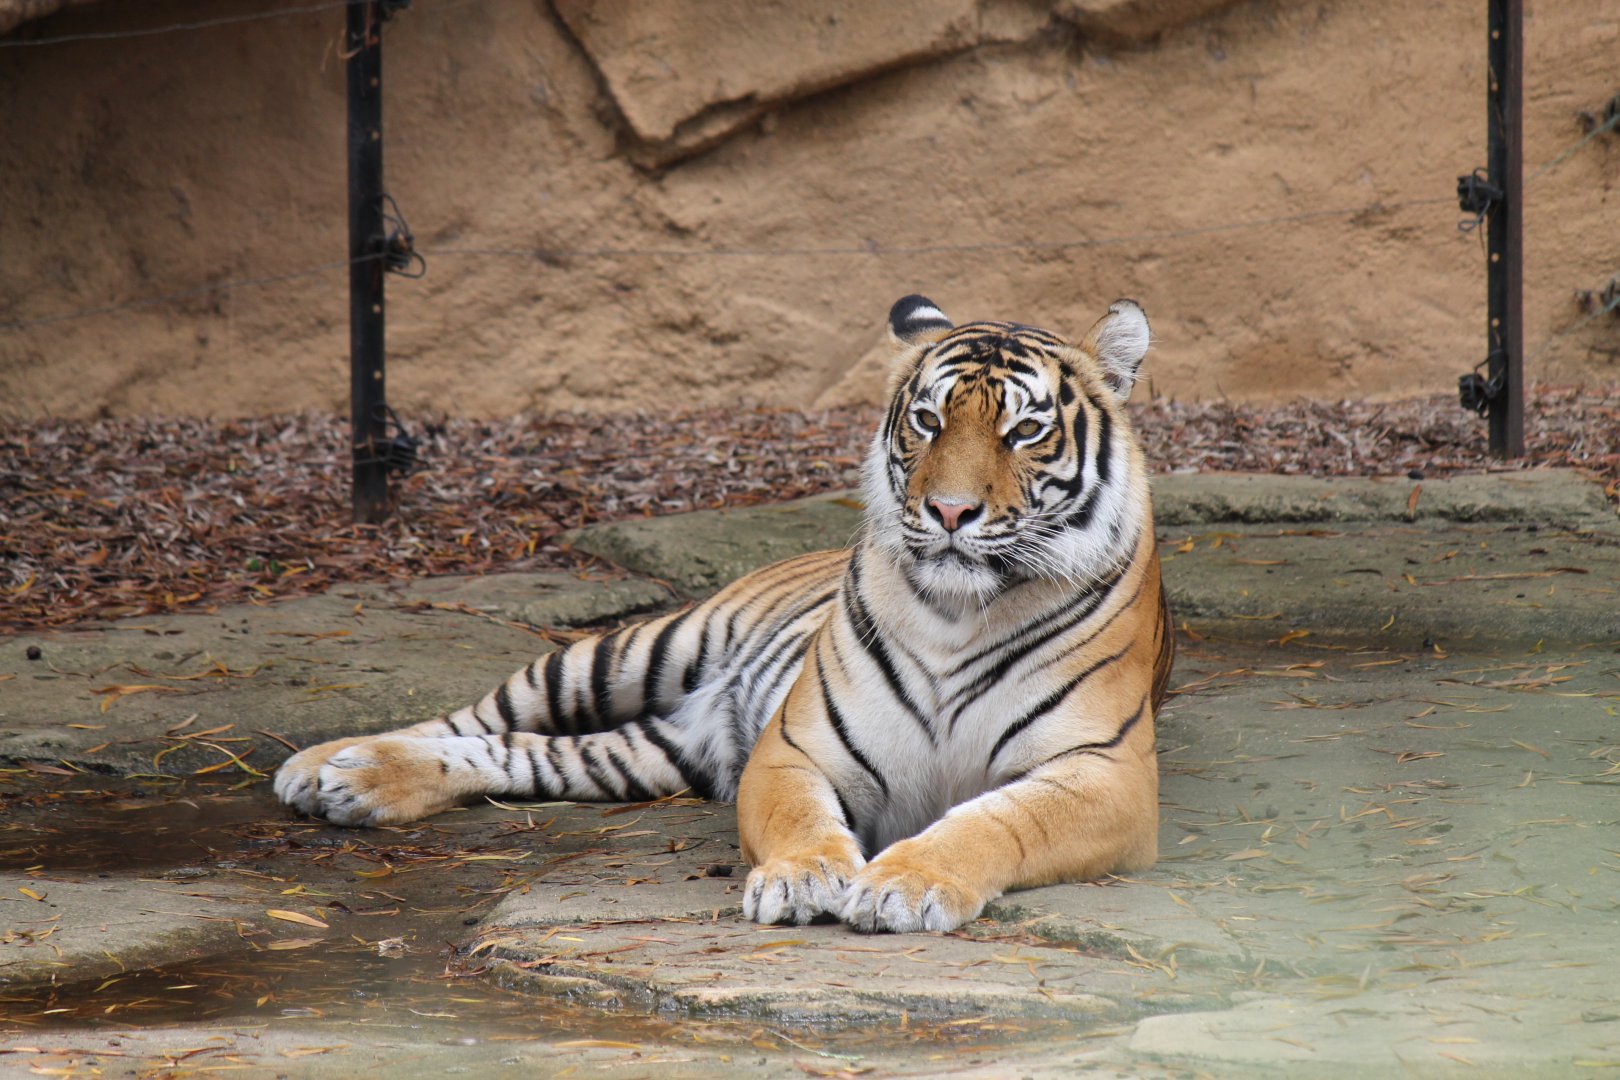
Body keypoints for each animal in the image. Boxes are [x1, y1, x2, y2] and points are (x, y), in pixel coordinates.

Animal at [273, 294, 1175, 933]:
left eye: (1024, 431)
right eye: (927, 420)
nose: (949, 512)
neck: (959, 610)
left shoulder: (1105, 774)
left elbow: (990, 823)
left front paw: (908, 884)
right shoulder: (793, 748)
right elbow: (800, 818)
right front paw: (804, 877)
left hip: (642, 752)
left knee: (513, 753)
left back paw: (354, 783)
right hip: (631, 652)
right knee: (476, 717)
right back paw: (327, 766)